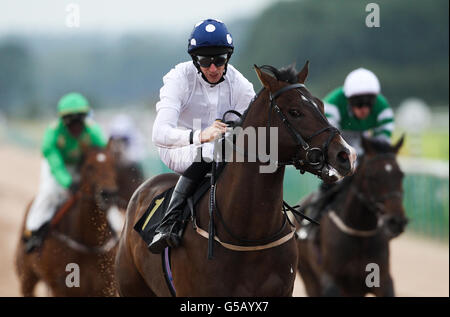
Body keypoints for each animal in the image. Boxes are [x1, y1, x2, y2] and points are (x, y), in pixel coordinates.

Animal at [16, 142, 121, 296]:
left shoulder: (107, 287)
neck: (89, 244)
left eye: (113, 165)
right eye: (89, 166)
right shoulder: (61, 287)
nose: (109, 194)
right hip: (27, 276)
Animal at [296, 136, 408, 296]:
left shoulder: (383, 279)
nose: (396, 221)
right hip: (308, 276)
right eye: (372, 176)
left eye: (401, 175)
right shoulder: (331, 280)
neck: (359, 231)